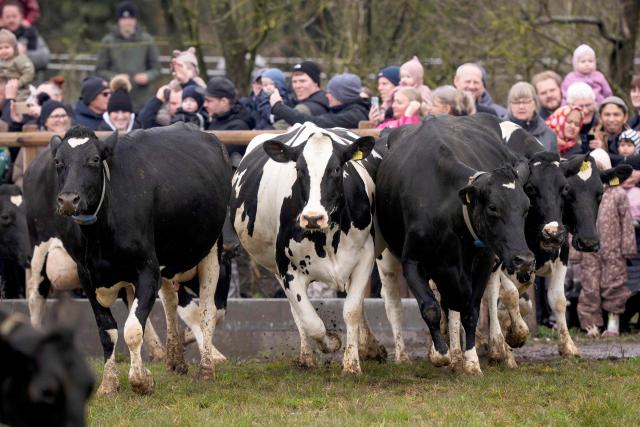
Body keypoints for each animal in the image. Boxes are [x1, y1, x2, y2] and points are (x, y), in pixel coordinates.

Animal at [23, 123, 231, 395]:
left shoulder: (148, 271)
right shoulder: (87, 276)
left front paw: (141, 380)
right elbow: (108, 331)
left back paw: (205, 369)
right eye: (59, 161)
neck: (99, 237)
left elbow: (133, 328)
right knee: (36, 301)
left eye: (94, 160)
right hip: (39, 251)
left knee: (207, 309)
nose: (68, 199)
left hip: (211, 248)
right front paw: (109, 384)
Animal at [231, 122, 385, 374]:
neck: (327, 239)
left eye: (335, 169)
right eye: (299, 170)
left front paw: (351, 364)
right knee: (297, 314)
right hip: (275, 268)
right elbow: (311, 322)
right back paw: (307, 358)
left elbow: (352, 310)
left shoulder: (364, 259)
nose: (313, 217)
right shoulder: (288, 270)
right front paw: (332, 342)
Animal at [374, 115, 535, 375]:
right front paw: (441, 353)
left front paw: (471, 360)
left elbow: (470, 311)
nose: (525, 260)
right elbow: (430, 307)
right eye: (493, 208)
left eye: (526, 208)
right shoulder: (413, 262)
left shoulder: (483, 262)